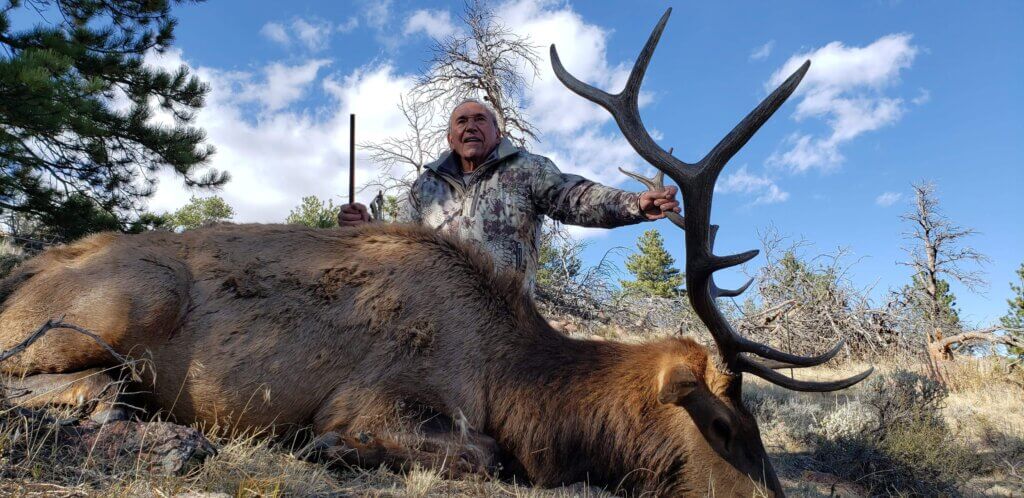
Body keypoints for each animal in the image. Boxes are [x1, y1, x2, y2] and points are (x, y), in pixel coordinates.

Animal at [0, 9, 870, 497]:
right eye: (725, 428)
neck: (513, 380)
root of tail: (22, 270)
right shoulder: (379, 397)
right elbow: (482, 456)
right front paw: (328, 449)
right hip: (126, 301)